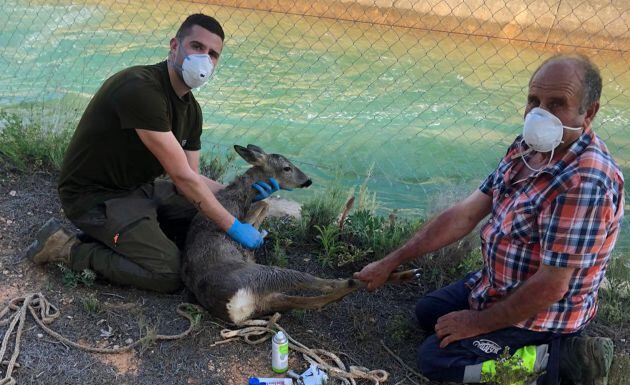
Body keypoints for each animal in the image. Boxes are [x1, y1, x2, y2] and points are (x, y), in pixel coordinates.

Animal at [183, 145, 420, 324]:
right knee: (323, 284)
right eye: (286, 167)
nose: (308, 181)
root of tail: (235, 306)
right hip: (265, 275)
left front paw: (258, 236)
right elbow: (263, 206)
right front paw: (255, 235)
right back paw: (390, 275)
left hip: (269, 298)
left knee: (318, 301)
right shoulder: (237, 218)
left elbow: (264, 205)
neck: (237, 195)